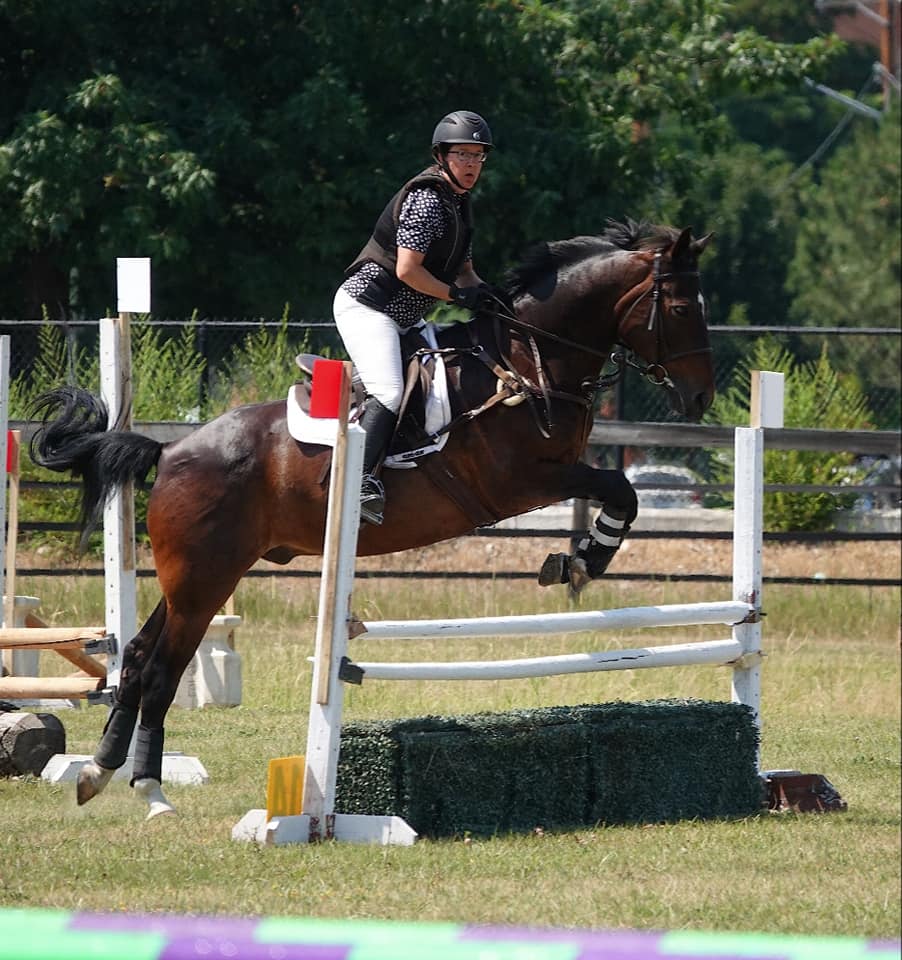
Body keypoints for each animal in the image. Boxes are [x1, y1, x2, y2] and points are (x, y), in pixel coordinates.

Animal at [31, 218, 716, 816]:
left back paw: (98, 771)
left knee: (138, 657)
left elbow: (619, 493)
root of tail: (170, 451)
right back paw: (150, 791)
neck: (528, 359)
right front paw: (581, 560)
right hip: (203, 580)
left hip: (195, 578)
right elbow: (621, 489)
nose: (701, 397)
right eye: (684, 309)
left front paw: (575, 558)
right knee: (162, 671)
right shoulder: (521, 482)